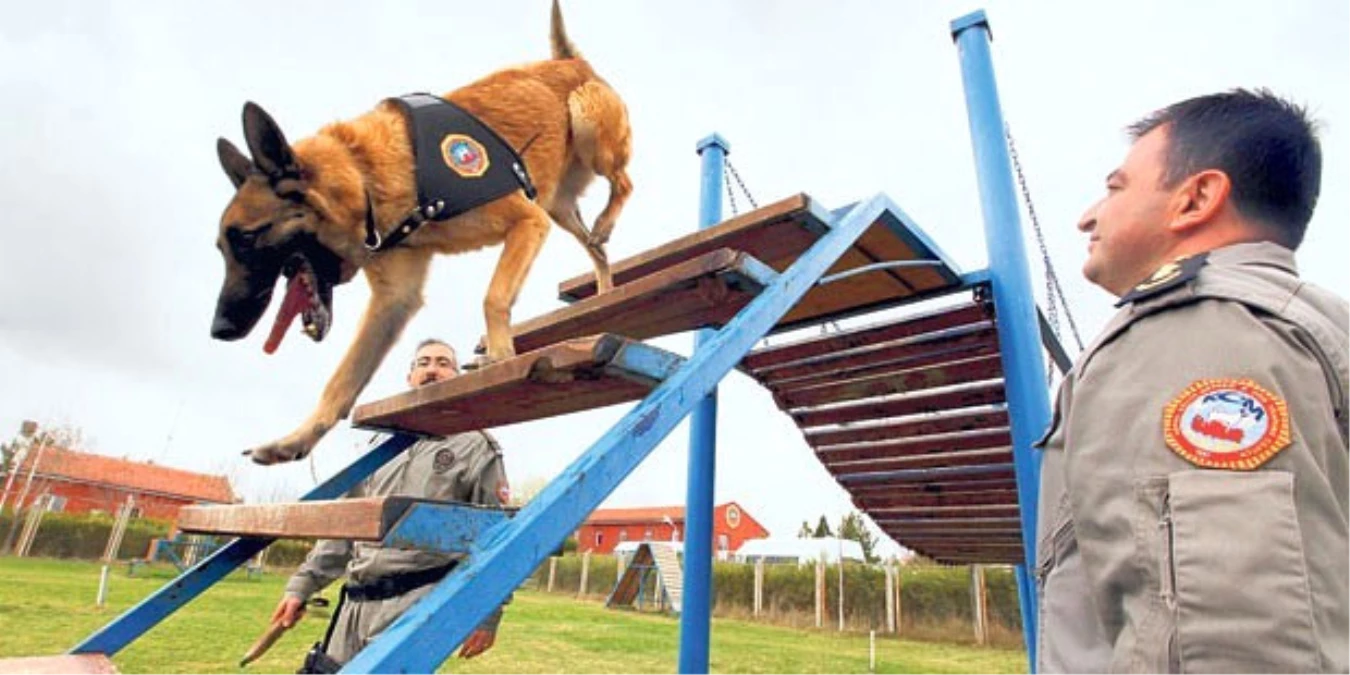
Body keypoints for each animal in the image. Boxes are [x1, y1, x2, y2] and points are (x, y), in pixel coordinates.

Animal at [210, 0, 631, 464]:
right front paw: (296, 440)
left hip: (587, 133)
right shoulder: (394, 301)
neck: (364, 174)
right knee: (598, 250)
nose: (218, 330)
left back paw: (607, 222)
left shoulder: (526, 221)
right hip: (558, 208)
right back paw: (605, 286)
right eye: (222, 247)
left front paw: (500, 356)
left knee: (624, 183)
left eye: (246, 238)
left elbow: (493, 298)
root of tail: (568, 61)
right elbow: (342, 380)